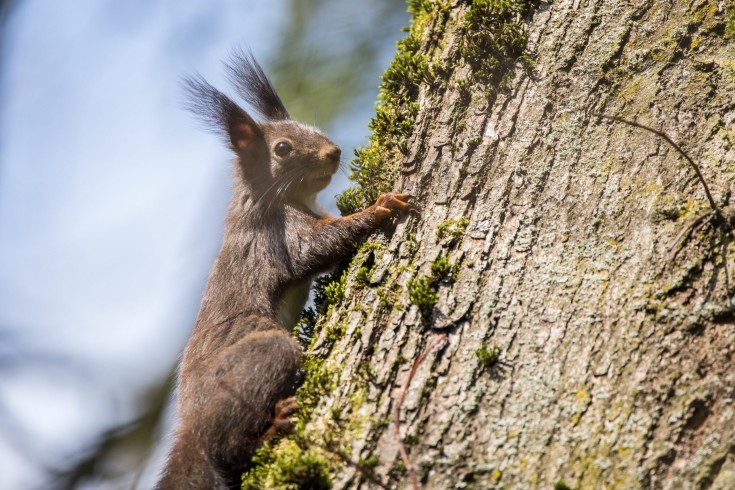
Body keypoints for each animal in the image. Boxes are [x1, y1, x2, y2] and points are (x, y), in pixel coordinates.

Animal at [157, 51, 414, 488]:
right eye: (282, 148)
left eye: (312, 126)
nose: (334, 151)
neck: (267, 197)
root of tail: (190, 430)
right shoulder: (279, 238)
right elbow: (321, 246)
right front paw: (378, 208)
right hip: (260, 359)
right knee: (227, 448)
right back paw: (274, 425)